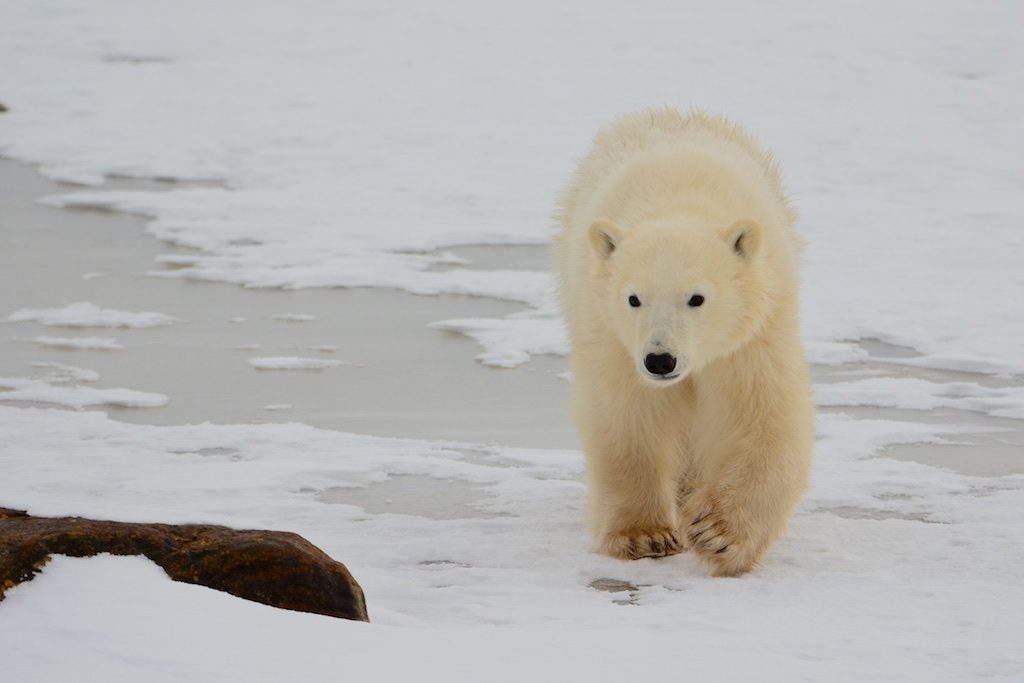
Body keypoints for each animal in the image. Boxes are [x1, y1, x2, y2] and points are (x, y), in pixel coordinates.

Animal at [553, 107, 814, 577]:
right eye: (633, 298)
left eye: (697, 297)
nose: (660, 360)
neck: (678, 203)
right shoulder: (612, 338)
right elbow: (629, 417)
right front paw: (644, 535)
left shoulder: (752, 335)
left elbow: (762, 415)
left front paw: (719, 533)